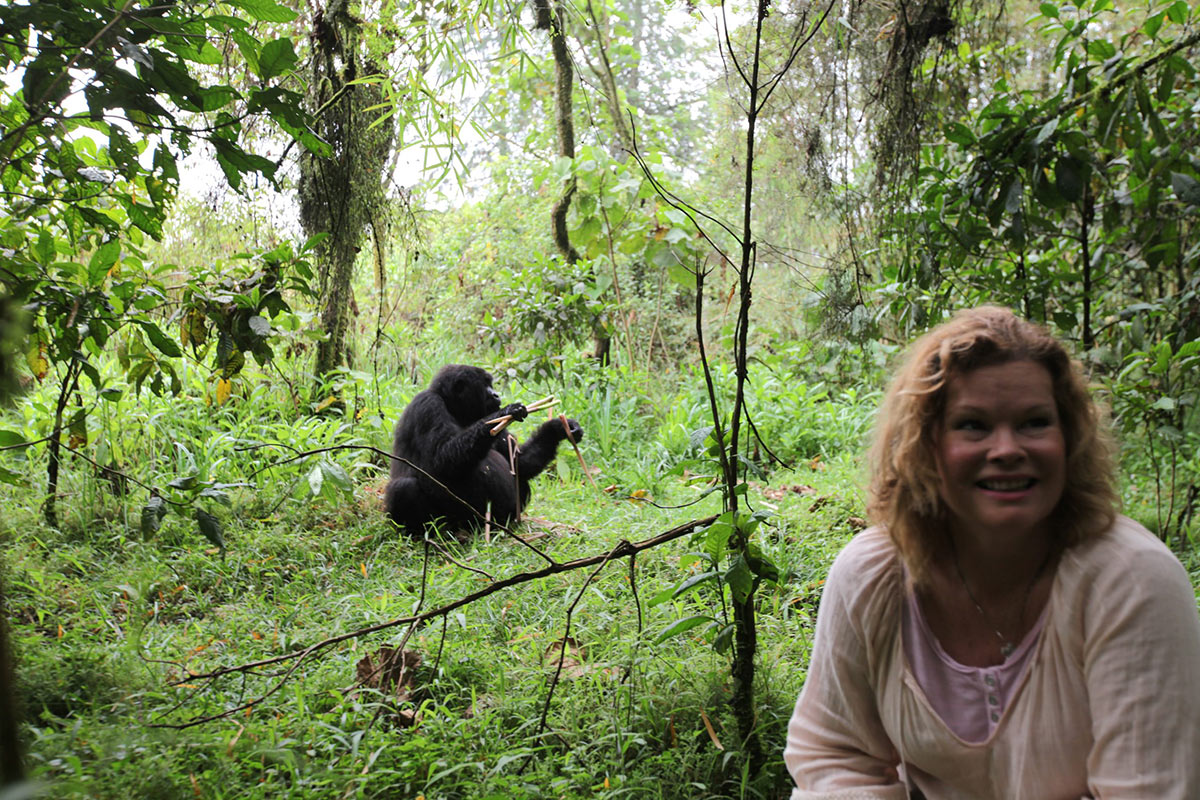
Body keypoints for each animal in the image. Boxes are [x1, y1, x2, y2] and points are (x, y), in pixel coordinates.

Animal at [384, 367, 585, 534]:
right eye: (485, 385)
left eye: (491, 384)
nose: (496, 394)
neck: (452, 406)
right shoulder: (428, 405)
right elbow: (442, 460)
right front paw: (504, 413)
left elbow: (520, 463)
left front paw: (559, 428)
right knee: (405, 488)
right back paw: (426, 533)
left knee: (520, 482)